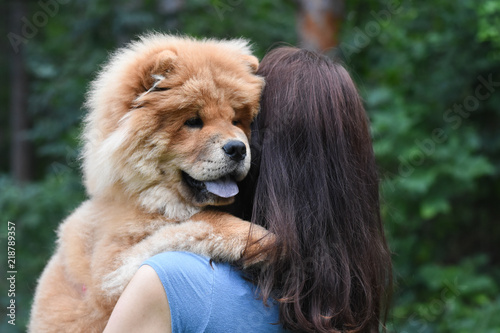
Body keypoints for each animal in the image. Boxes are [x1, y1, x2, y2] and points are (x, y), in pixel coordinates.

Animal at [29, 32, 272, 330]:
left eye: (236, 120)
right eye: (193, 121)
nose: (238, 148)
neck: (151, 199)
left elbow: (186, 225)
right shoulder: (109, 273)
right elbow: (199, 223)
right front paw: (259, 237)